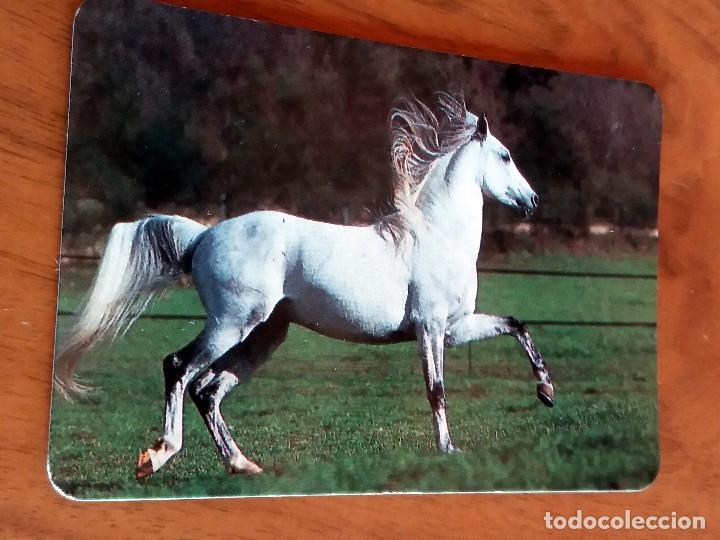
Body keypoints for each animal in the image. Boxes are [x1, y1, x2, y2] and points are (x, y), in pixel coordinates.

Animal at [54, 91, 554, 480]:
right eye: (505, 155)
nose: (532, 200)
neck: (435, 236)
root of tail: (203, 236)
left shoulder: (454, 327)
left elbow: (517, 324)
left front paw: (546, 392)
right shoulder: (430, 328)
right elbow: (437, 389)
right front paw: (449, 450)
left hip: (263, 334)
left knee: (208, 390)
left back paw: (241, 465)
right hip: (231, 323)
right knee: (179, 368)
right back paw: (158, 456)